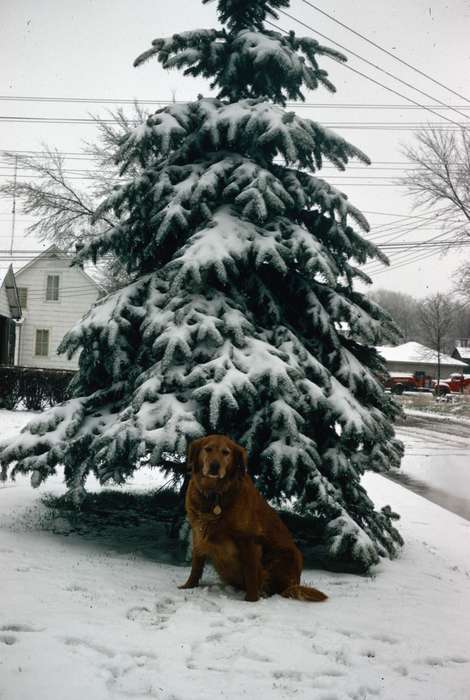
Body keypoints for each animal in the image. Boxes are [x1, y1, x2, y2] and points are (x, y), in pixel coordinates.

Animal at [180, 432, 326, 600]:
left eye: (226, 452)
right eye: (208, 449)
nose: (214, 466)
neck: (214, 494)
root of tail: (293, 583)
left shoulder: (249, 539)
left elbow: (251, 572)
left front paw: (251, 600)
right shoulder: (198, 532)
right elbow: (196, 565)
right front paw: (188, 586)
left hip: (285, 555)